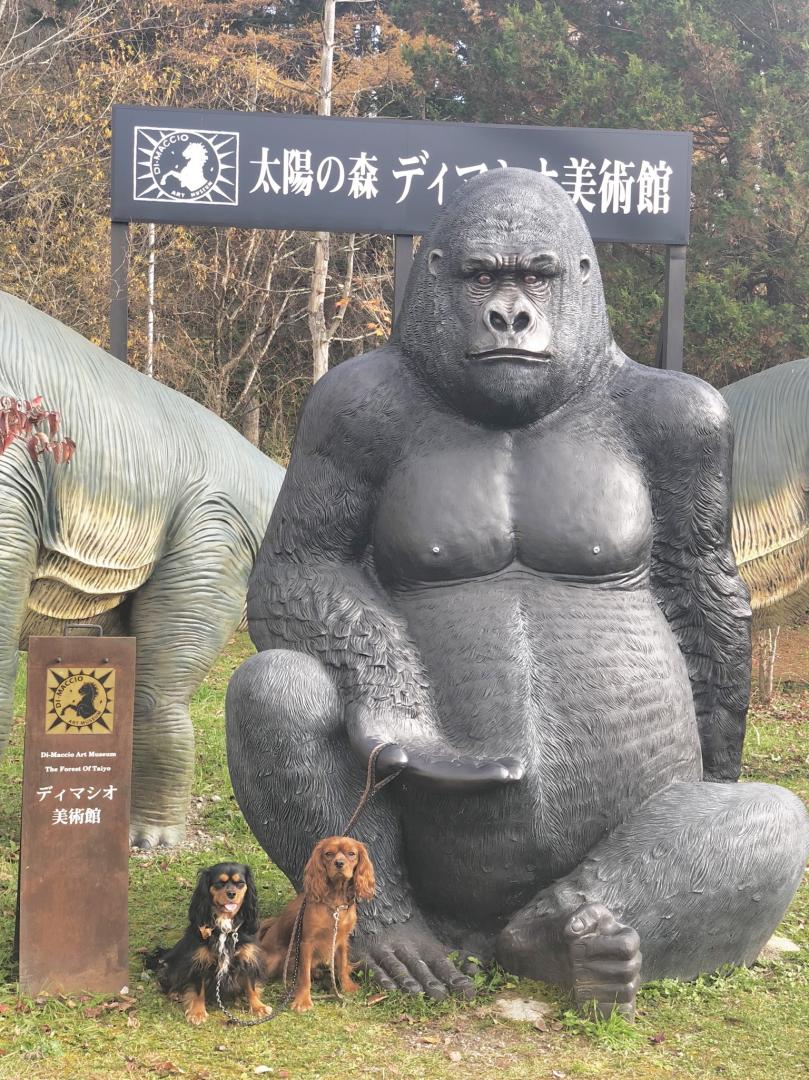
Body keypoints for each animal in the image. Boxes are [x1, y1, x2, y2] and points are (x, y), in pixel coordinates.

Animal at [145, 864, 271, 1023]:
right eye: (219, 883)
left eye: (240, 883)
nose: (231, 893)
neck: (224, 926)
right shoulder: (200, 961)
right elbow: (199, 990)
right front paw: (197, 1013)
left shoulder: (247, 957)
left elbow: (251, 985)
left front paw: (258, 1007)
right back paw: (176, 992)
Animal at [257, 838, 373, 1006]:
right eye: (328, 854)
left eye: (351, 854)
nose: (339, 863)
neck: (335, 902)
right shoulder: (306, 943)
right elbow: (304, 975)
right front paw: (303, 1000)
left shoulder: (341, 939)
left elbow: (342, 964)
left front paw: (347, 987)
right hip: (272, 960)